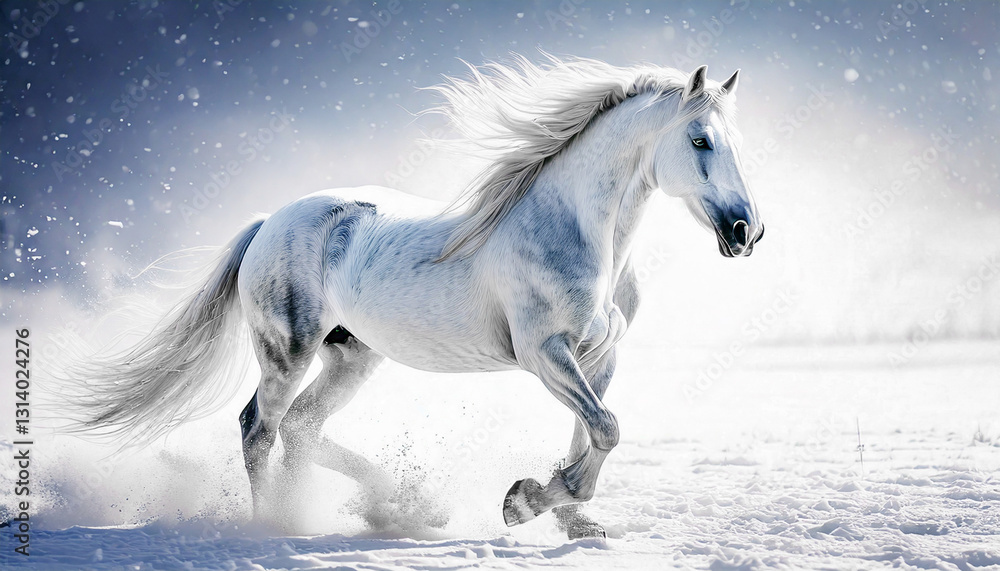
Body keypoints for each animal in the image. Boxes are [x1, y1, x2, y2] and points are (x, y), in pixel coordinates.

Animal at [70, 56, 764, 539]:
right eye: (700, 140)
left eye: (735, 143)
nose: (745, 232)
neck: (576, 233)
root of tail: (270, 221)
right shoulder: (544, 354)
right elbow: (606, 428)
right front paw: (525, 502)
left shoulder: (598, 356)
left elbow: (591, 433)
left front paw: (569, 518)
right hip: (287, 350)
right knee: (259, 427)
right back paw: (275, 526)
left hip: (352, 355)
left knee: (299, 428)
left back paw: (403, 506)